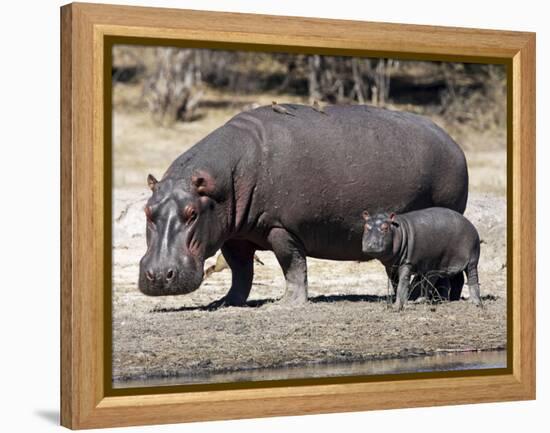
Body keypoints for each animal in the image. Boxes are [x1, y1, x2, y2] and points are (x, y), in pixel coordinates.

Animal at [138, 103, 470, 306]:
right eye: (147, 211)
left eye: (192, 213)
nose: (159, 275)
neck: (220, 184)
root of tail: (453, 142)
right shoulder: (234, 234)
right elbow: (240, 271)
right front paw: (226, 302)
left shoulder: (281, 228)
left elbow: (293, 265)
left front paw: (287, 304)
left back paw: (436, 299)